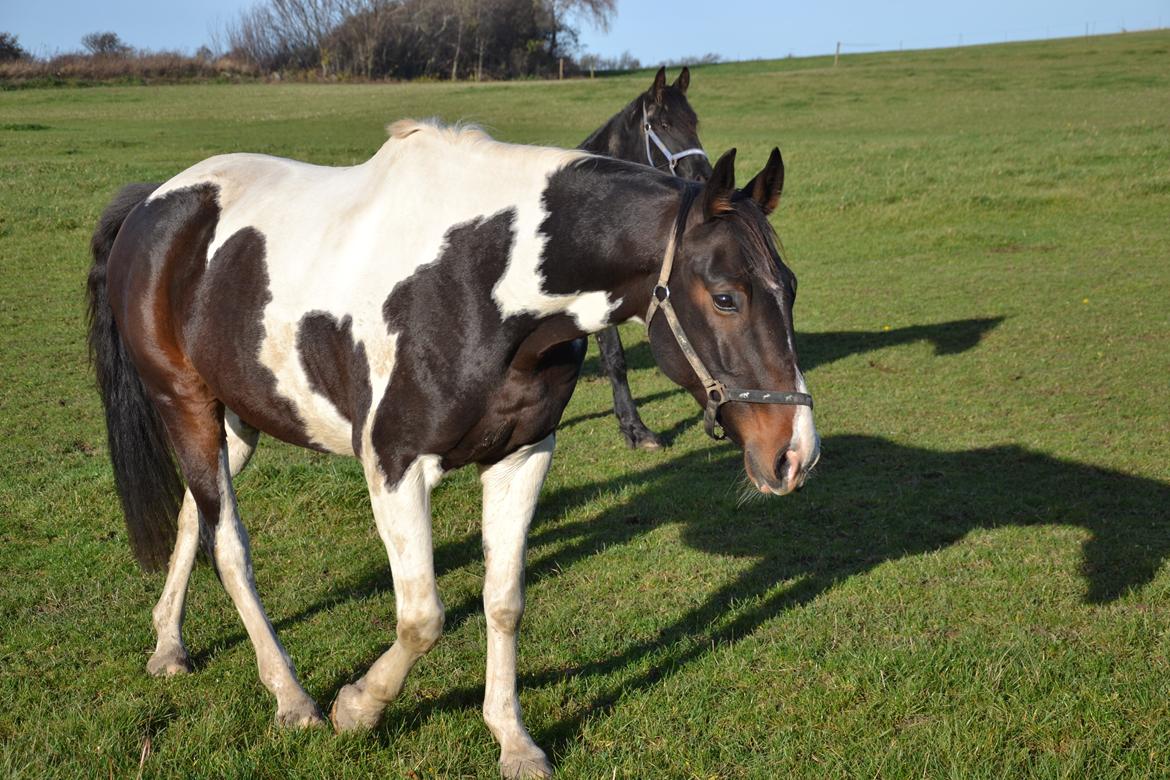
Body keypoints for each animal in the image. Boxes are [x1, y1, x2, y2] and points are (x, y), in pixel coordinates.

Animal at [86, 119, 819, 776]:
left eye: (791, 285)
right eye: (725, 297)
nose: (795, 455)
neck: (477, 285)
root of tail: (157, 203)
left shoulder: (523, 456)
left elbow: (503, 601)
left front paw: (513, 740)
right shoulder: (394, 466)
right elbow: (423, 617)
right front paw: (357, 708)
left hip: (236, 416)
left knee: (195, 517)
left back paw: (169, 644)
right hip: (184, 404)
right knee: (230, 545)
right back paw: (292, 697)